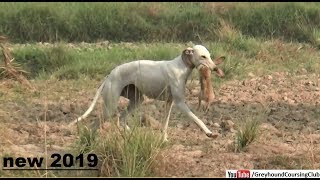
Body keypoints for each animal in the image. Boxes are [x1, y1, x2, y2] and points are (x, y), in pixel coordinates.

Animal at [69, 44, 225, 141]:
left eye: (210, 56)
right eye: (203, 56)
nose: (216, 68)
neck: (181, 66)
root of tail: (109, 75)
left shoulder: (169, 103)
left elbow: (165, 124)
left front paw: (164, 140)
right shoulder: (180, 103)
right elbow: (196, 119)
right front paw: (209, 133)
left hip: (137, 100)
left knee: (121, 118)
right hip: (110, 108)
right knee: (95, 123)